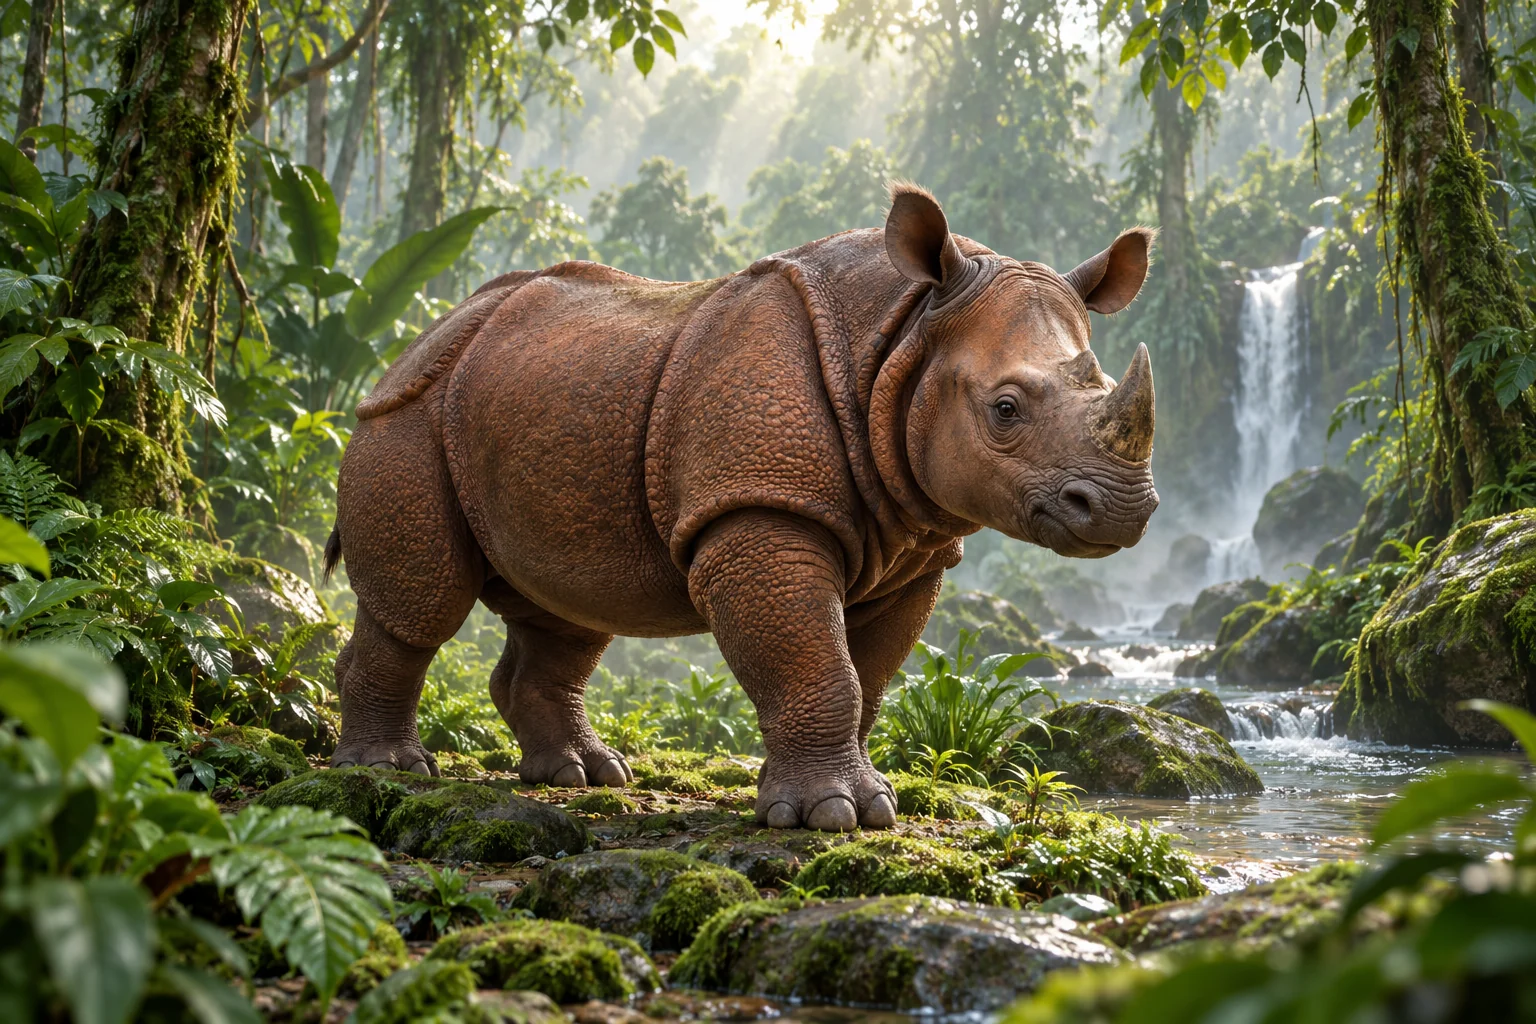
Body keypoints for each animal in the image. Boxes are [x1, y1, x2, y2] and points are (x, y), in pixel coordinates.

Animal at [325, 184, 1158, 831]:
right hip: (406, 414)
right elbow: (818, 660)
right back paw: (392, 769)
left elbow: (865, 676)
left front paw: (857, 801)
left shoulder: (913, 547)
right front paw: (834, 815)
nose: (1126, 511)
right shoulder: (759, 510)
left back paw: (583, 776)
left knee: (570, 609)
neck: (903, 339)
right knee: (422, 603)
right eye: (1006, 409)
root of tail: (416, 336)